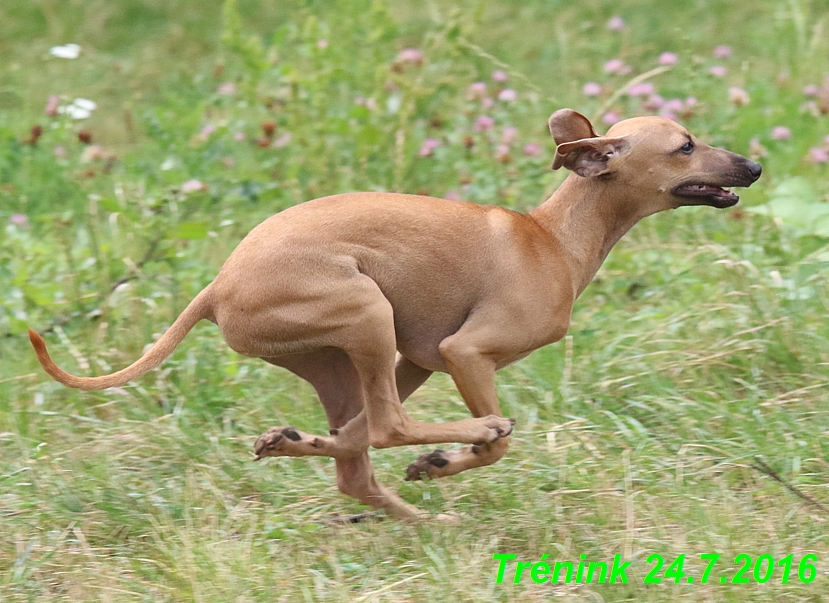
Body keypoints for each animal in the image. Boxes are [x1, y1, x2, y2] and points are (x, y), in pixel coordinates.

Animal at [29, 109, 760, 520]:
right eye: (685, 145)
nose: (754, 163)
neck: (553, 236)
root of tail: (217, 285)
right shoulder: (467, 353)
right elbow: (496, 444)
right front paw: (454, 455)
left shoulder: (421, 357)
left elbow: (365, 440)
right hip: (365, 313)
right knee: (387, 427)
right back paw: (448, 454)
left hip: (350, 356)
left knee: (354, 456)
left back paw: (320, 457)